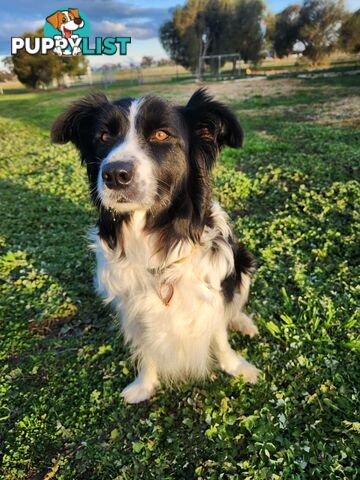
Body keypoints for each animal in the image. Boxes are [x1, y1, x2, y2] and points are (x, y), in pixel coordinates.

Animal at [50, 89, 258, 402]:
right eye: (103, 136)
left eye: (161, 135)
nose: (115, 174)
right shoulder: (132, 306)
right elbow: (146, 347)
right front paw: (145, 385)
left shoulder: (213, 290)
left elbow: (219, 336)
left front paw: (237, 367)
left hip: (242, 263)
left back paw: (242, 322)